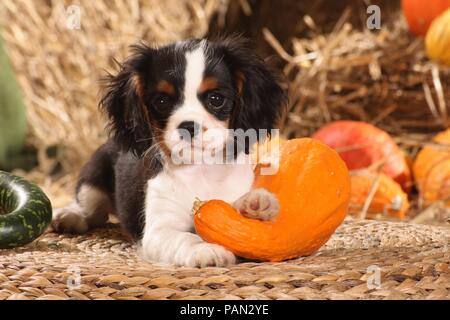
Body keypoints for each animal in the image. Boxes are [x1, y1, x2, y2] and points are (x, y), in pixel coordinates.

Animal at [51, 37, 284, 268]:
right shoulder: (158, 232)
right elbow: (185, 237)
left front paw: (255, 205)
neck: (201, 169)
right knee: (90, 209)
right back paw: (69, 216)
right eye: (162, 101)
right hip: (93, 178)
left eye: (216, 99)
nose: (188, 126)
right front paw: (206, 250)